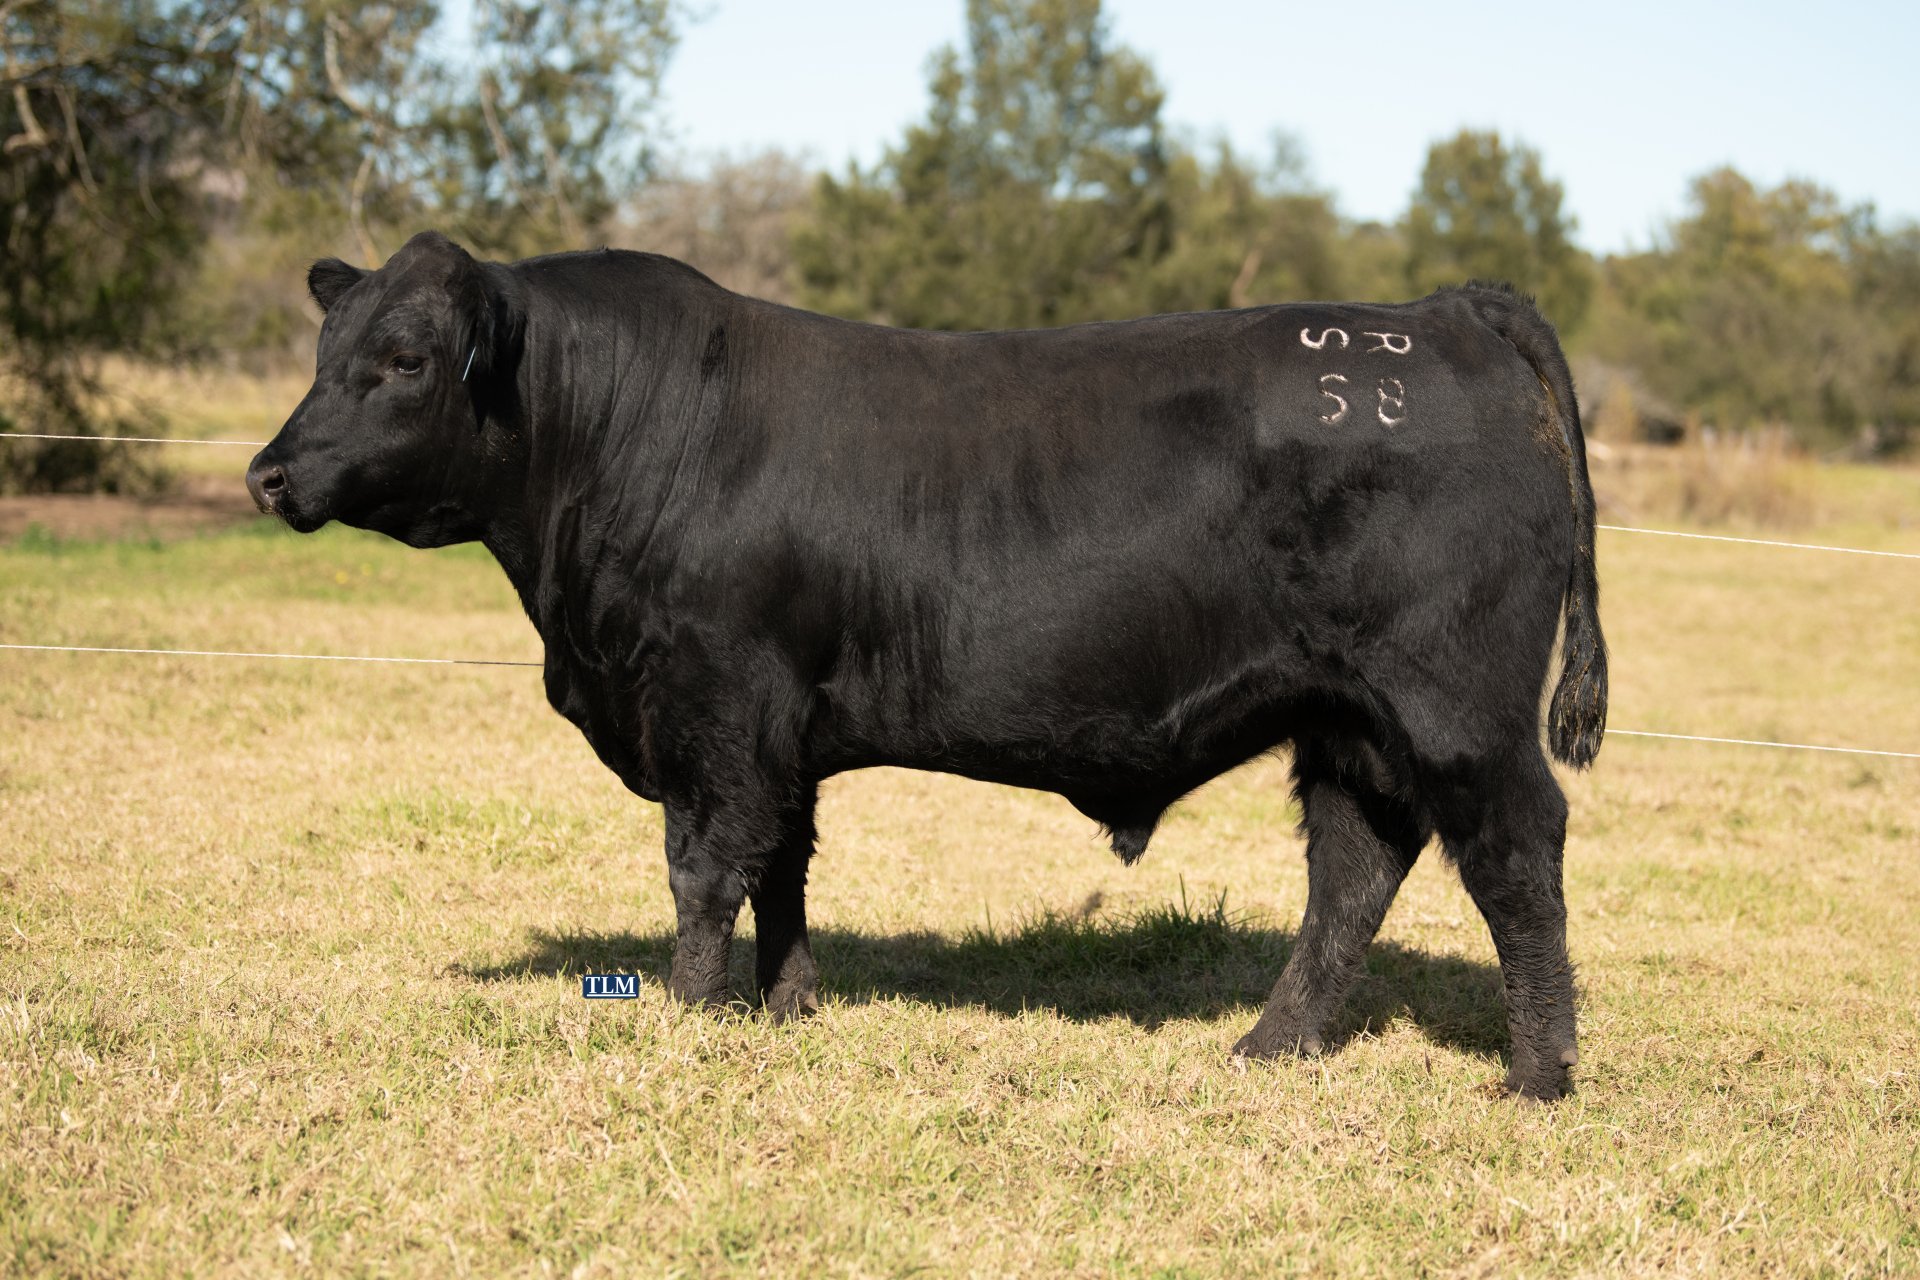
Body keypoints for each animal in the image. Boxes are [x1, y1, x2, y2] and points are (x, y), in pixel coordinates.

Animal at [248, 231, 1607, 1100]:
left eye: (406, 358)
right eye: (323, 347)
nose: (269, 472)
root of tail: (1439, 311)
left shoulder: (714, 705)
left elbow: (706, 868)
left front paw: (691, 1016)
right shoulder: (779, 729)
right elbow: (784, 866)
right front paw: (786, 1006)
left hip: (1459, 707)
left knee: (1515, 853)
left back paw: (1536, 1075)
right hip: (1349, 718)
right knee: (1355, 866)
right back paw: (1271, 1045)